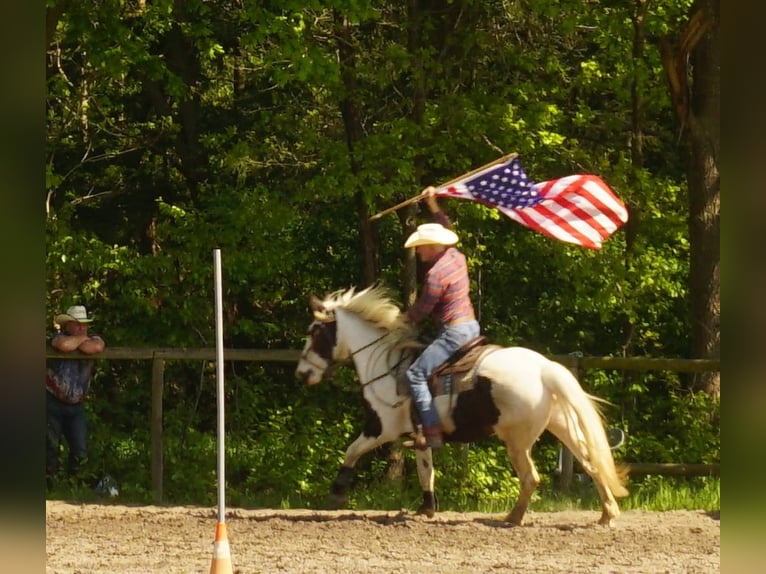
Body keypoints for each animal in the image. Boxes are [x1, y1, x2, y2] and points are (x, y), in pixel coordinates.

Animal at [295, 284, 629, 526]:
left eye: (314, 332)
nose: (302, 373)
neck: (388, 366)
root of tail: (544, 369)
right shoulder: (418, 434)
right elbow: (425, 470)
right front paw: (427, 508)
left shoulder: (381, 428)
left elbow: (351, 451)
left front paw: (336, 495)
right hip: (561, 427)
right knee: (591, 463)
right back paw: (606, 515)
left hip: (518, 442)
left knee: (531, 477)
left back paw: (512, 518)